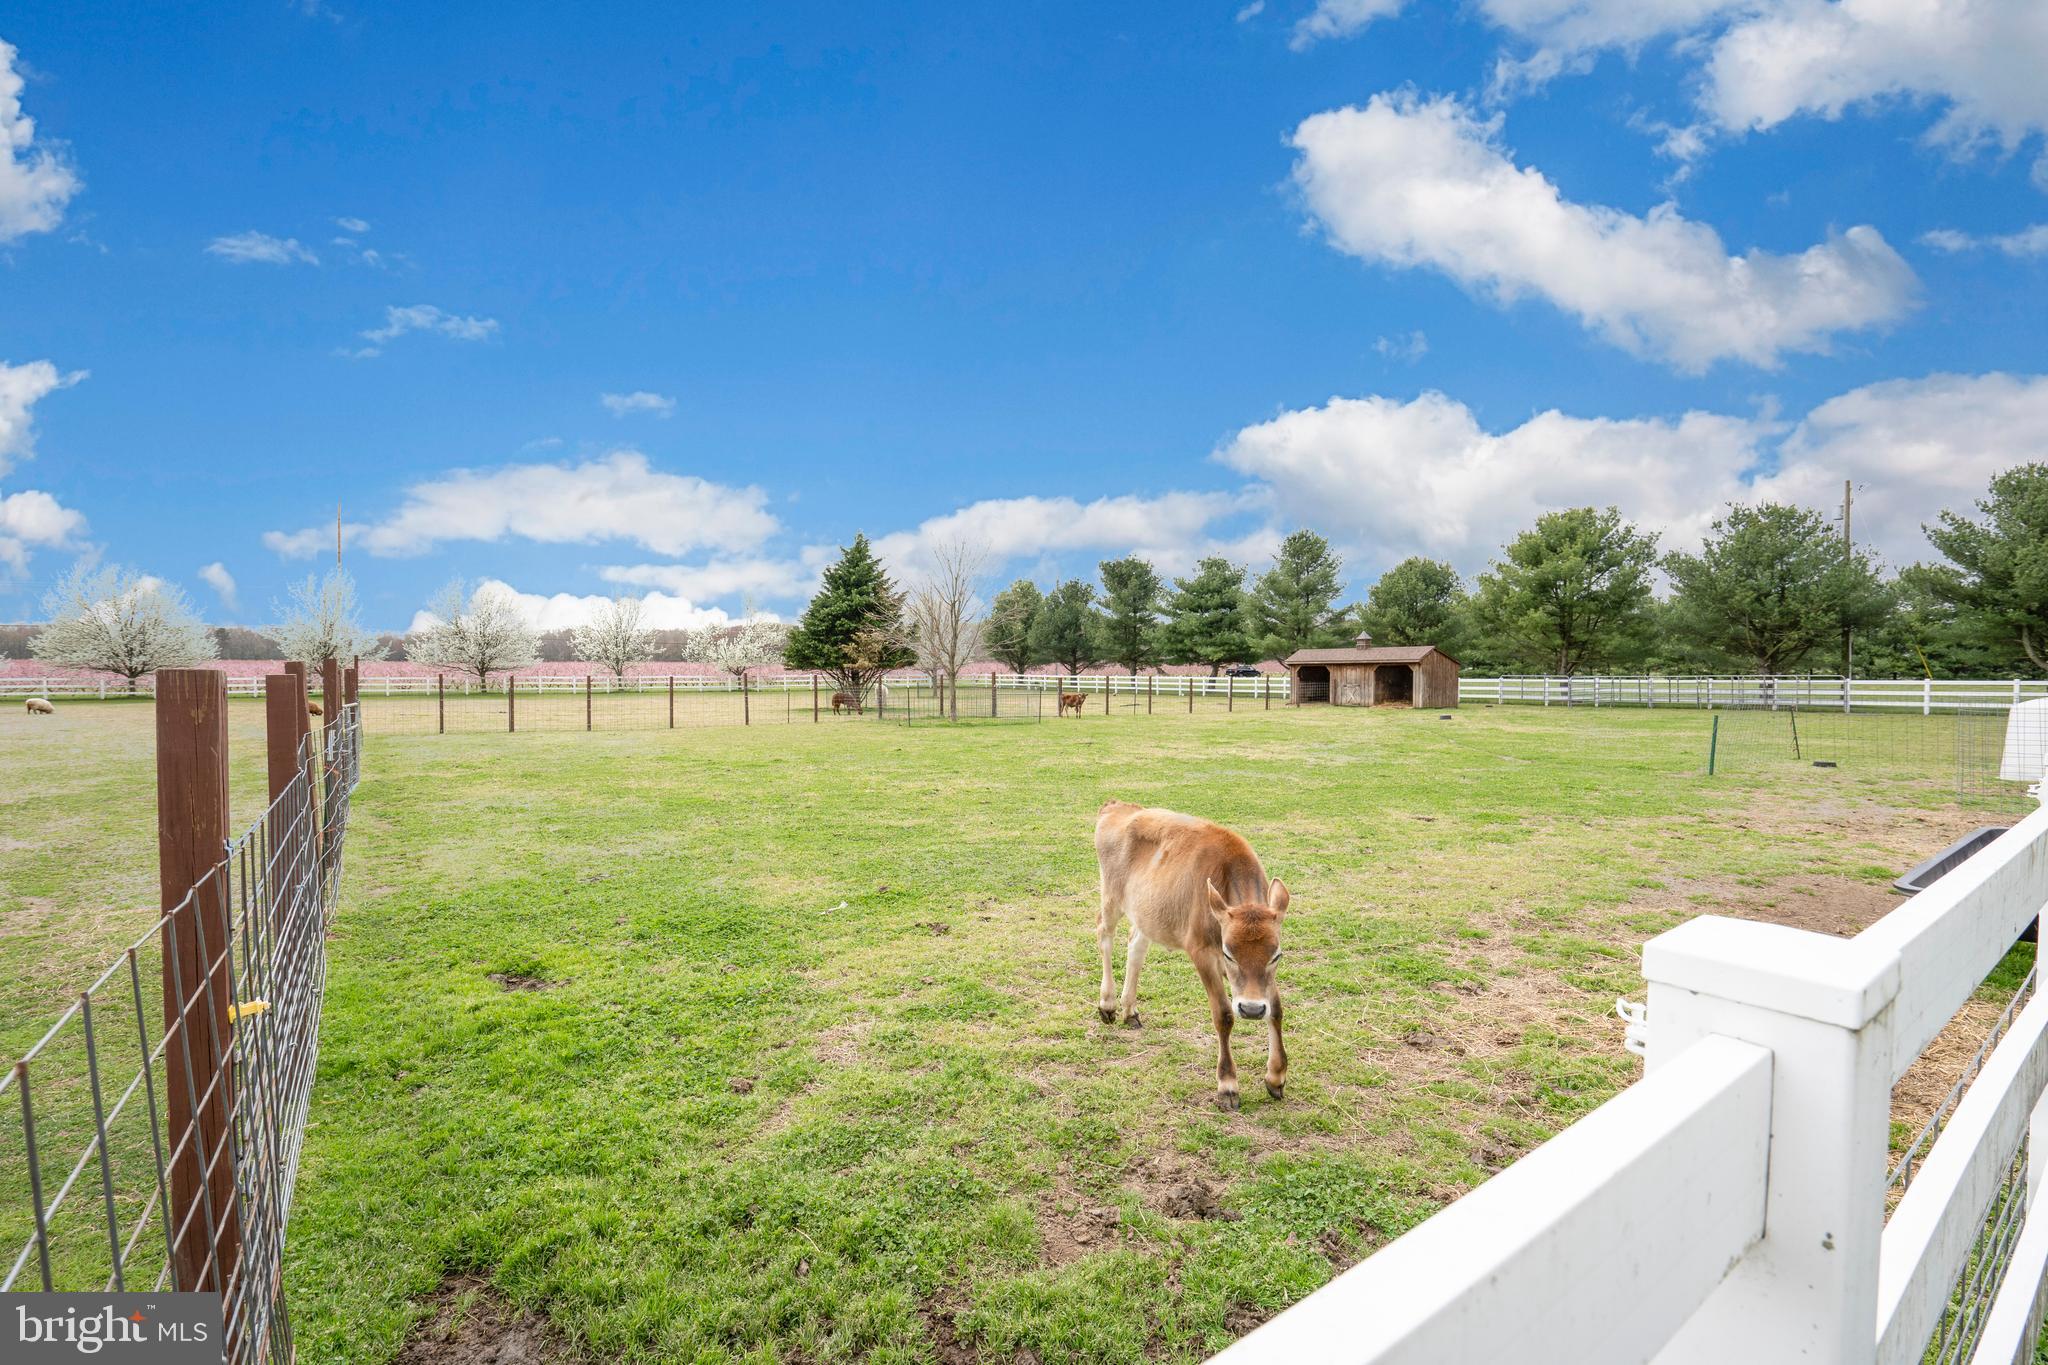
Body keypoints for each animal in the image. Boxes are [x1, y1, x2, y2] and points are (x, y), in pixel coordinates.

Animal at [1092, 801, 1289, 1110]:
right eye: (1228, 953)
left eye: (1276, 955)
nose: (1251, 1009)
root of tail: (1117, 806)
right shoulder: (1201, 952)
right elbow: (1223, 1014)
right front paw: (1228, 1086)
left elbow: (1277, 1009)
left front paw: (1276, 1077)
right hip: (1111, 896)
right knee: (1104, 934)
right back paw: (1108, 1004)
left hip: (1147, 913)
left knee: (1136, 945)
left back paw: (1130, 1010)